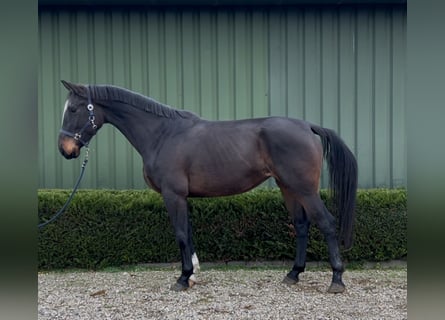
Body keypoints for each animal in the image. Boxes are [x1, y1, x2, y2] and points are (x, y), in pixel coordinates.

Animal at [59, 80, 358, 292]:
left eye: (73, 109)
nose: (65, 149)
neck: (162, 134)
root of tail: (308, 126)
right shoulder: (183, 197)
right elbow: (189, 233)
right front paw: (191, 275)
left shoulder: (173, 195)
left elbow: (180, 234)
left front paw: (182, 279)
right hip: (288, 187)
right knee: (301, 225)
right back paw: (293, 274)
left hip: (304, 189)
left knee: (327, 223)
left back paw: (336, 280)